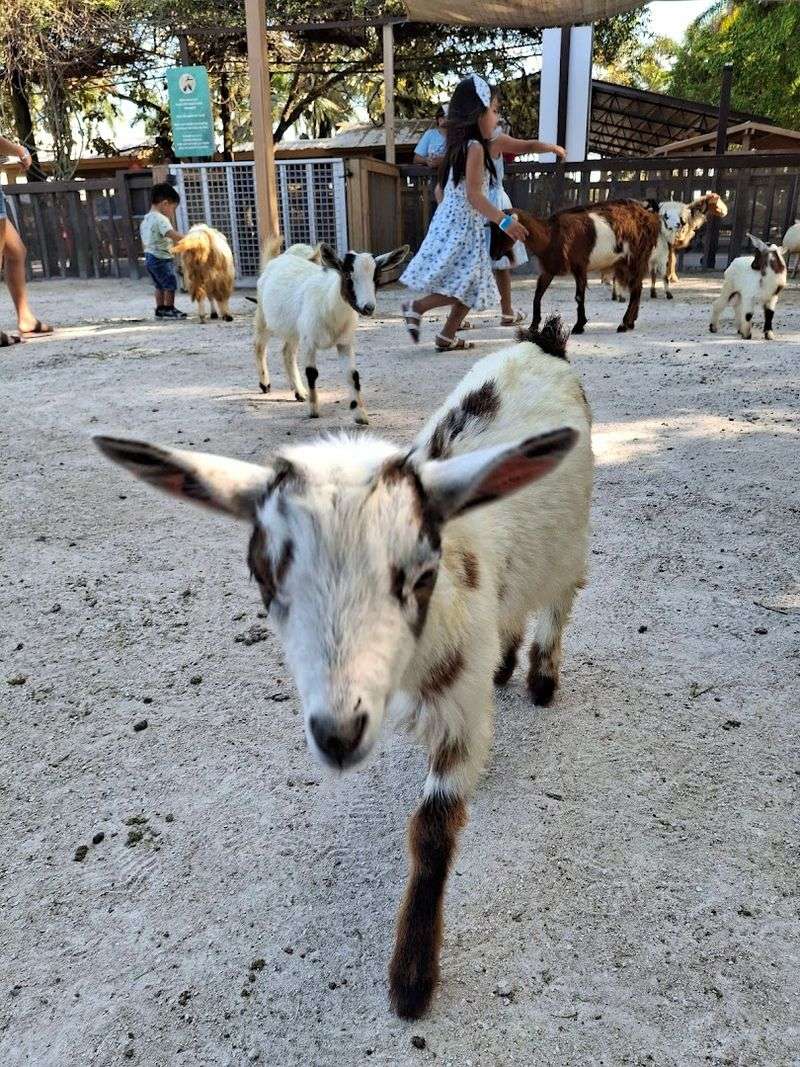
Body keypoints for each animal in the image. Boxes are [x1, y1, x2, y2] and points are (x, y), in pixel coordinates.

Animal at [93, 314, 592, 1021]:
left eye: (421, 573)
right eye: (262, 574)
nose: (338, 732)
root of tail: (541, 342)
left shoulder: (457, 709)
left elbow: (432, 830)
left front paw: (412, 981)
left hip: (571, 539)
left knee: (558, 597)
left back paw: (542, 678)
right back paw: (507, 663)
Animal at [253, 239, 408, 425]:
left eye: (376, 278)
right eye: (348, 276)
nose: (368, 307)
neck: (328, 304)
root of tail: (281, 258)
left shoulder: (344, 343)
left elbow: (353, 376)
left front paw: (360, 415)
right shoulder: (309, 342)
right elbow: (312, 373)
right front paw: (314, 411)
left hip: (294, 330)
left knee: (287, 352)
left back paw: (300, 392)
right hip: (263, 315)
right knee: (259, 346)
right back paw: (265, 384)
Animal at [491, 198, 663, 333]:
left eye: (503, 231)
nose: (493, 255)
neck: (550, 235)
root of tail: (648, 214)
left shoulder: (579, 265)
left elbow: (579, 296)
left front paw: (579, 326)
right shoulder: (549, 269)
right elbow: (537, 295)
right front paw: (533, 326)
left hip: (636, 257)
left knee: (635, 290)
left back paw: (624, 324)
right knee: (637, 288)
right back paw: (631, 322)